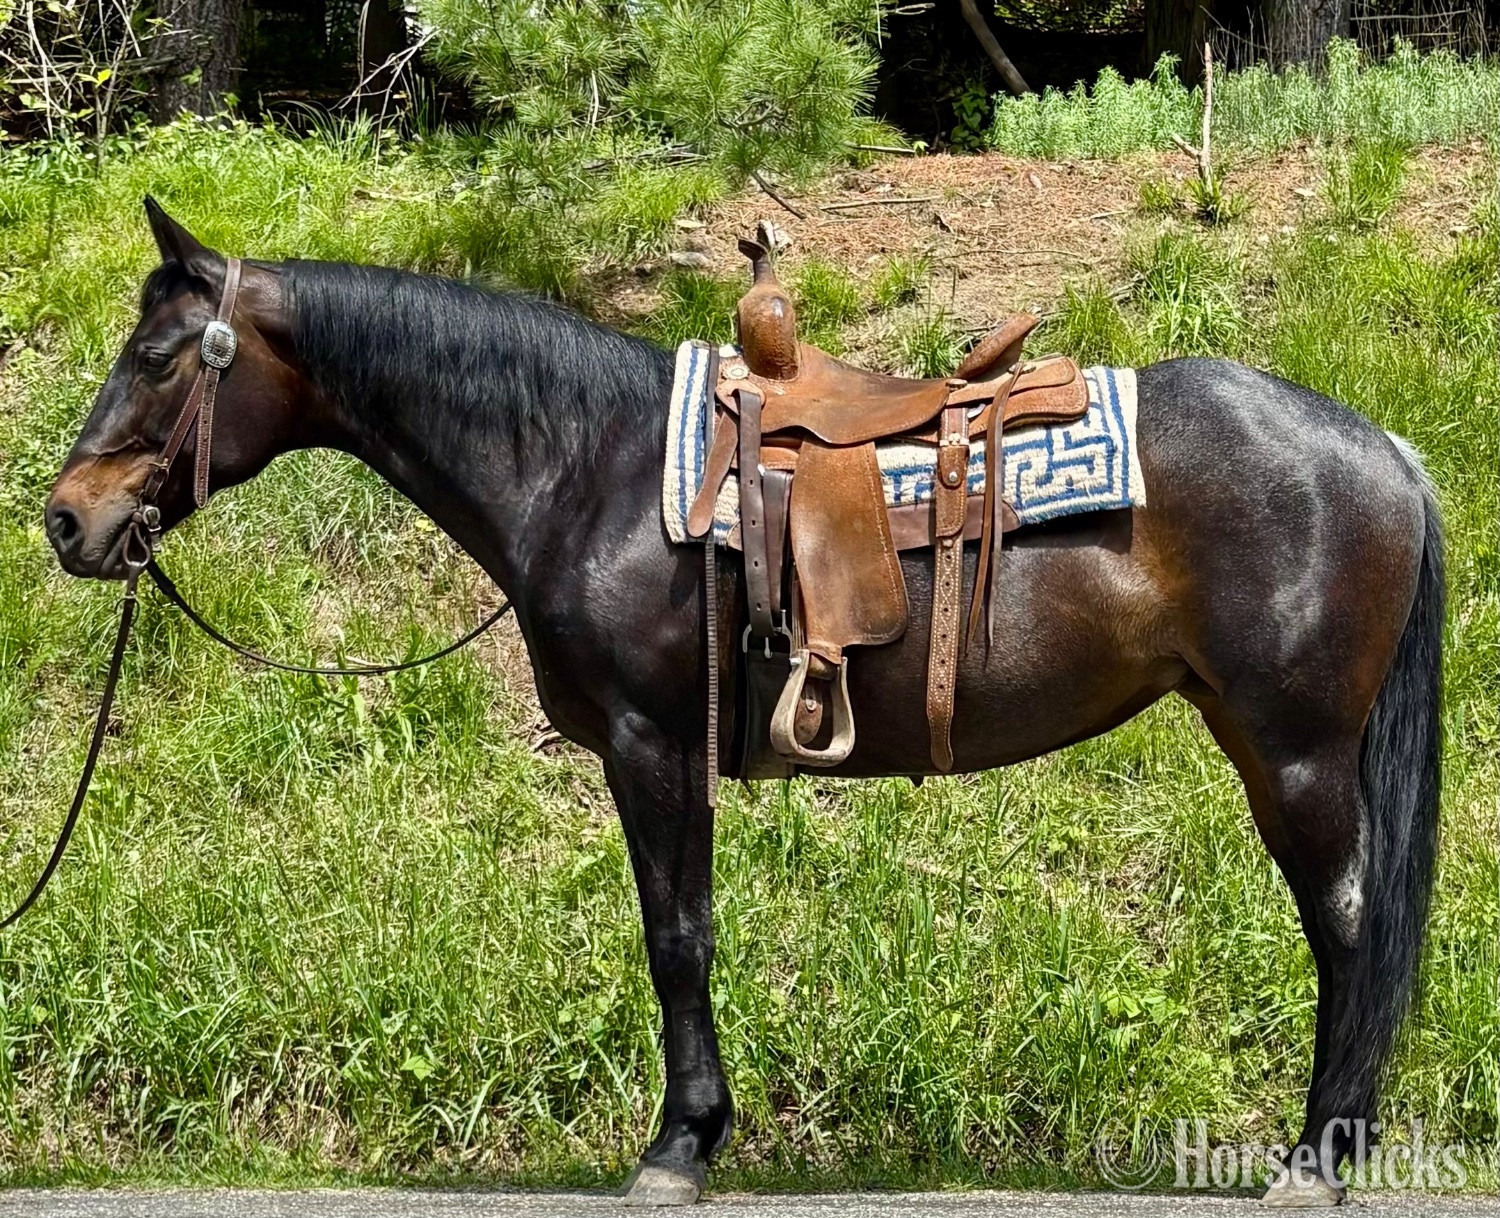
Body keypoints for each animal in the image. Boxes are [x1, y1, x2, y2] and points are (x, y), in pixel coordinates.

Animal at [43, 201, 1442, 1207]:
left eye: (156, 358)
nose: (67, 520)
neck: (587, 467)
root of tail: (1382, 447)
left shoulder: (652, 745)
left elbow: (676, 940)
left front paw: (679, 1147)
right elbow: (689, 933)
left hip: (1297, 750)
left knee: (1347, 925)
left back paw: (1317, 1159)